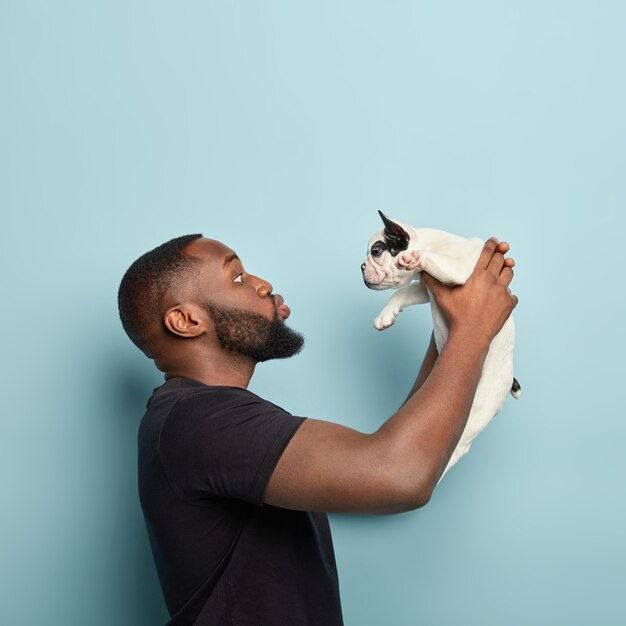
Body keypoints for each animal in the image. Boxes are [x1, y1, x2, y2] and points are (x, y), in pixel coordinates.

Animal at [358, 210, 520, 478]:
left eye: (376, 251)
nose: (361, 267)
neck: (430, 242)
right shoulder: (424, 289)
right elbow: (401, 293)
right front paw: (385, 315)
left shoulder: (461, 268)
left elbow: (430, 261)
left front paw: (415, 257)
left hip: (477, 409)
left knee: (457, 447)